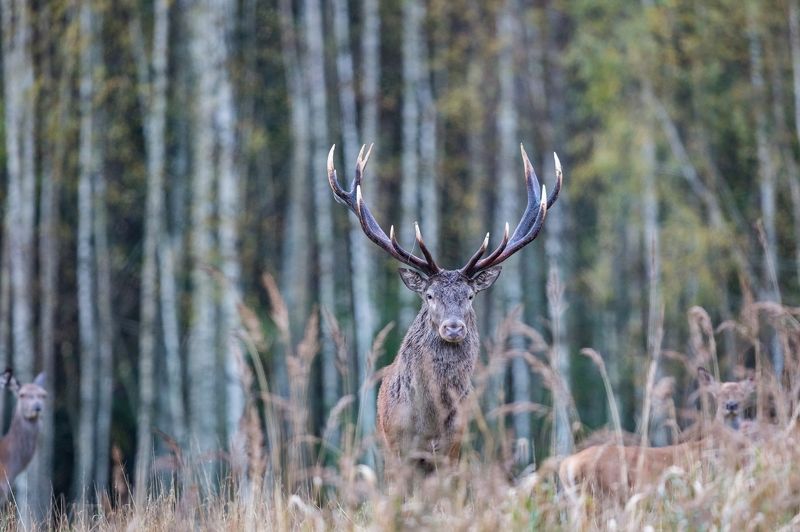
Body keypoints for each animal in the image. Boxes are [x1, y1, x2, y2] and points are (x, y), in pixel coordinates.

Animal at [327, 143, 563, 469]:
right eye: (429, 295)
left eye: (470, 295)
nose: (453, 327)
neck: (429, 423)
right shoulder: (398, 447)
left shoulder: (453, 447)